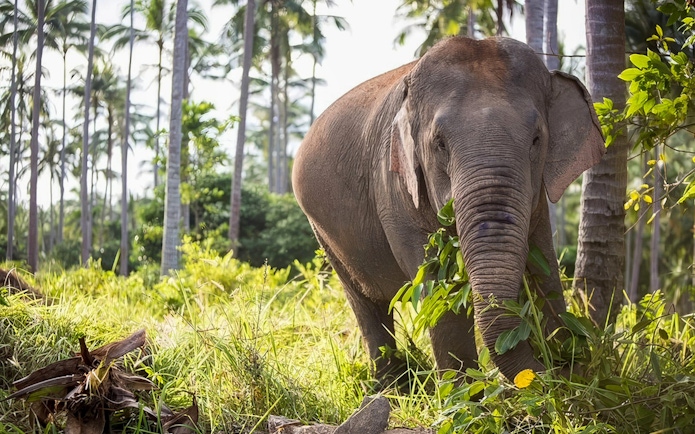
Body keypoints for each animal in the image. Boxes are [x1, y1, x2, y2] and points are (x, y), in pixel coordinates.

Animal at [292, 36, 605, 382]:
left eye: (537, 139)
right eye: (439, 144)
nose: (555, 368)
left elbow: (544, 268)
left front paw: (568, 369)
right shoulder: (394, 188)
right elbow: (438, 285)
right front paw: (465, 393)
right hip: (324, 235)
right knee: (366, 304)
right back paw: (392, 386)